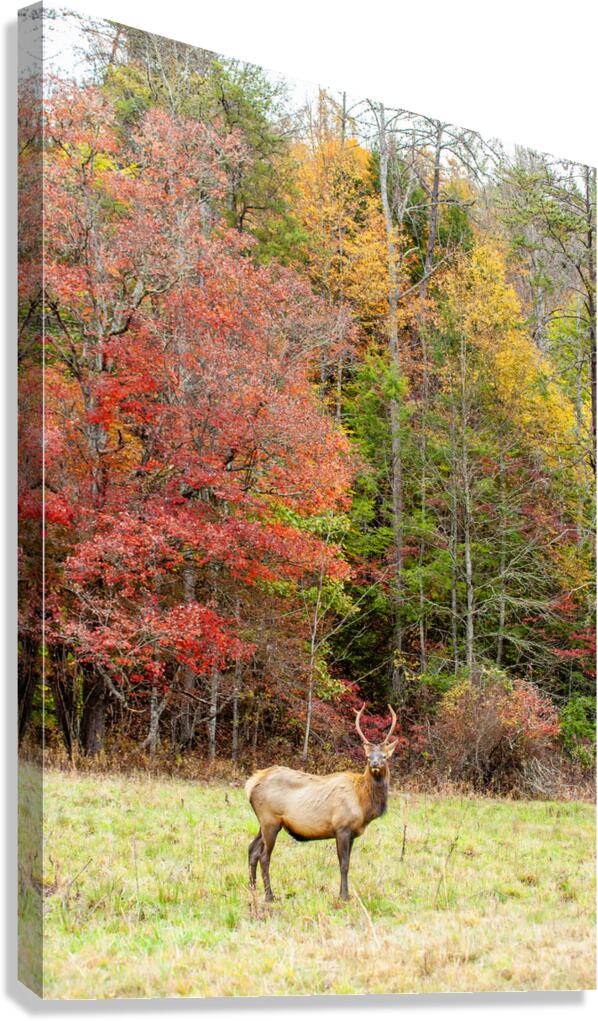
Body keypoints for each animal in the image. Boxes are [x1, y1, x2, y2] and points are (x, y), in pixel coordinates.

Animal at [245, 704, 399, 901]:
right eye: (367, 756)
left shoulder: (351, 833)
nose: (375, 764)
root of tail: (251, 784)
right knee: (264, 856)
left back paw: (252, 889)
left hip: (265, 822)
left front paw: (344, 893)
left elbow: (346, 863)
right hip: (270, 820)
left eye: (385, 756)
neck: (363, 803)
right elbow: (344, 864)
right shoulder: (342, 827)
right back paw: (269, 896)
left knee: (252, 849)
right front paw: (344, 896)